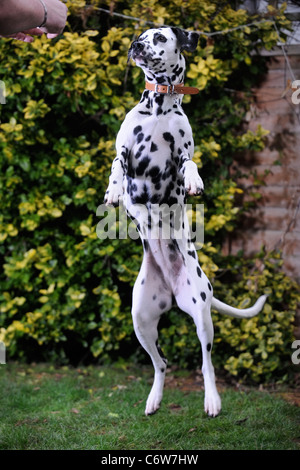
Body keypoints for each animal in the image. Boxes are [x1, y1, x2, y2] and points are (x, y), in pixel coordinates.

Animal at [105, 27, 268, 416]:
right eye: (141, 35)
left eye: (159, 37)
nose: (135, 46)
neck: (159, 108)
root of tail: (172, 291)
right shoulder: (125, 149)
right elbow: (117, 165)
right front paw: (114, 190)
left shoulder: (180, 153)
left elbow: (191, 163)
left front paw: (194, 182)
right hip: (141, 321)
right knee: (161, 363)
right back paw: (154, 399)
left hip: (202, 318)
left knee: (206, 364)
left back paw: (212, 399)